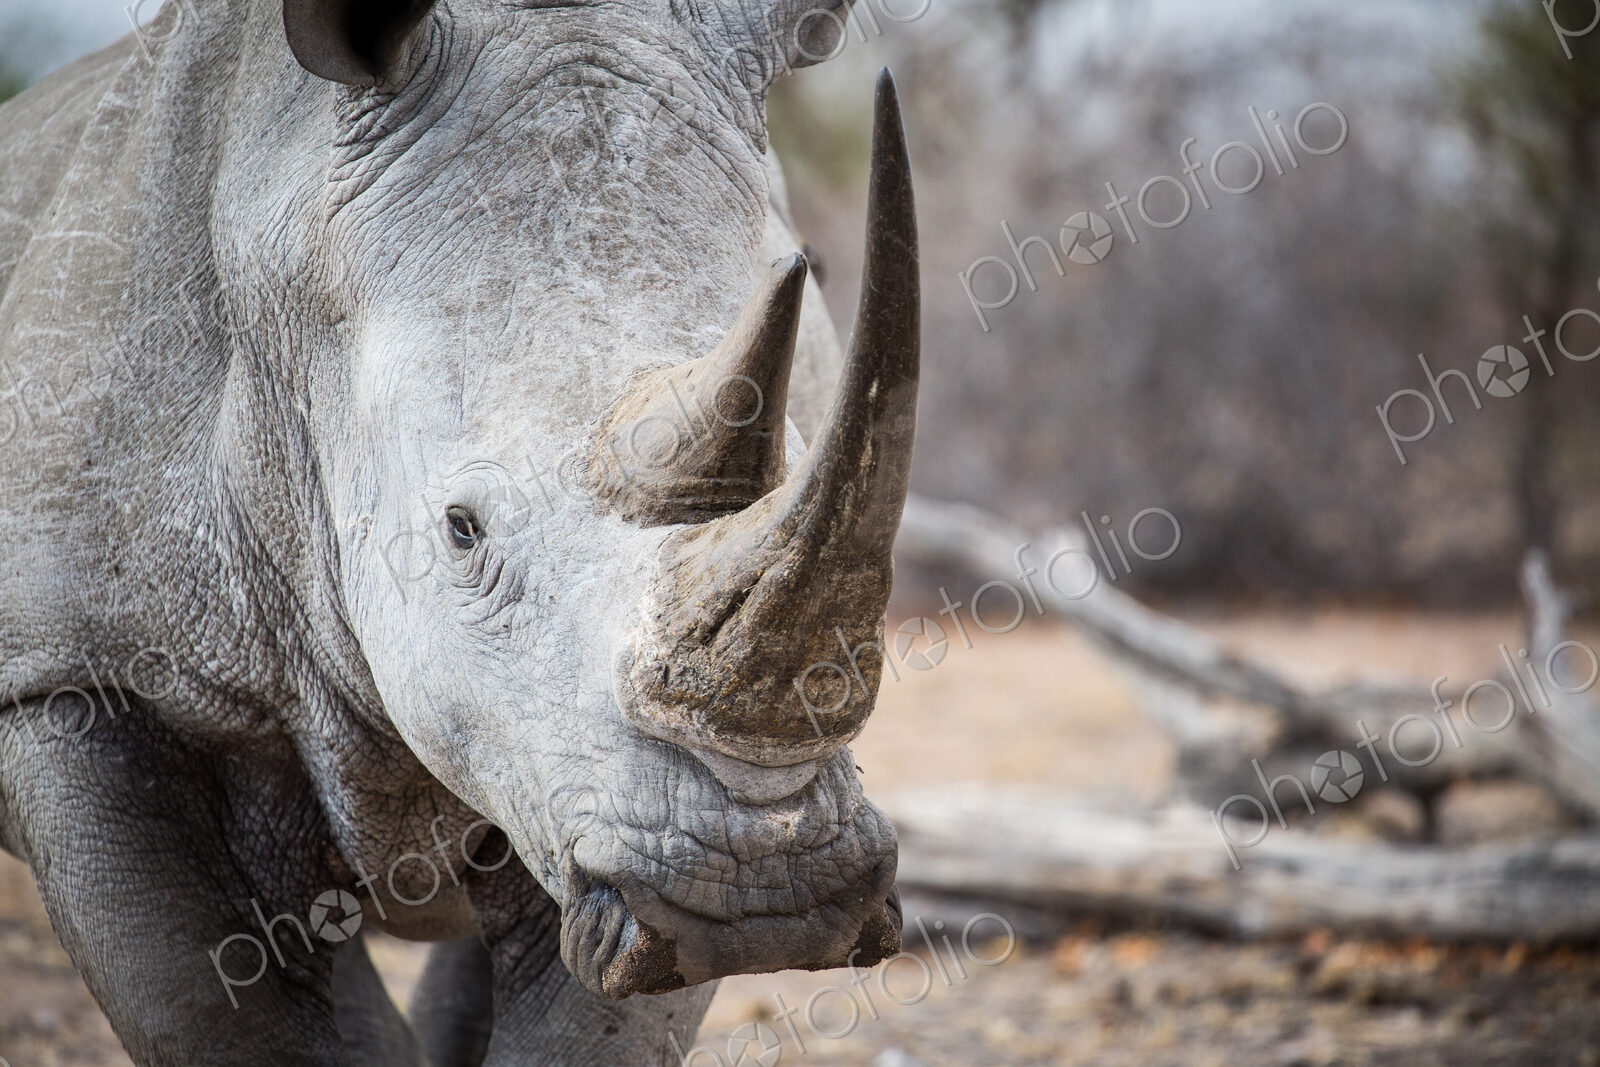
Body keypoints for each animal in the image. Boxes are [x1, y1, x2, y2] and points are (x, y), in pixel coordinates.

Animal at [0, 0, 920, 1061]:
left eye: (805, 454)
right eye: (461, 530)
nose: (767, 893)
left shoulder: (565, 778)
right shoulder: (71, 675)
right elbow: (210, 1010)